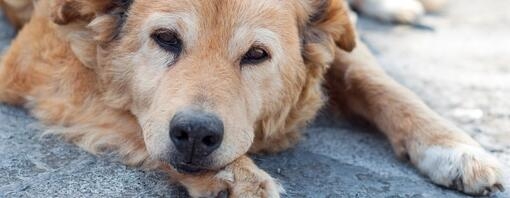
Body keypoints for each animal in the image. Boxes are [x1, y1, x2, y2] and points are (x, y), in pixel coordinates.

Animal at [0, 0, 504, 197]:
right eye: (165, 40)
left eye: (256, 55)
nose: (195, 135)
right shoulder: (37, 63)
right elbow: (131, 116)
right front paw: (236, 177)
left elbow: (380, 81)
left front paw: (454, 148)